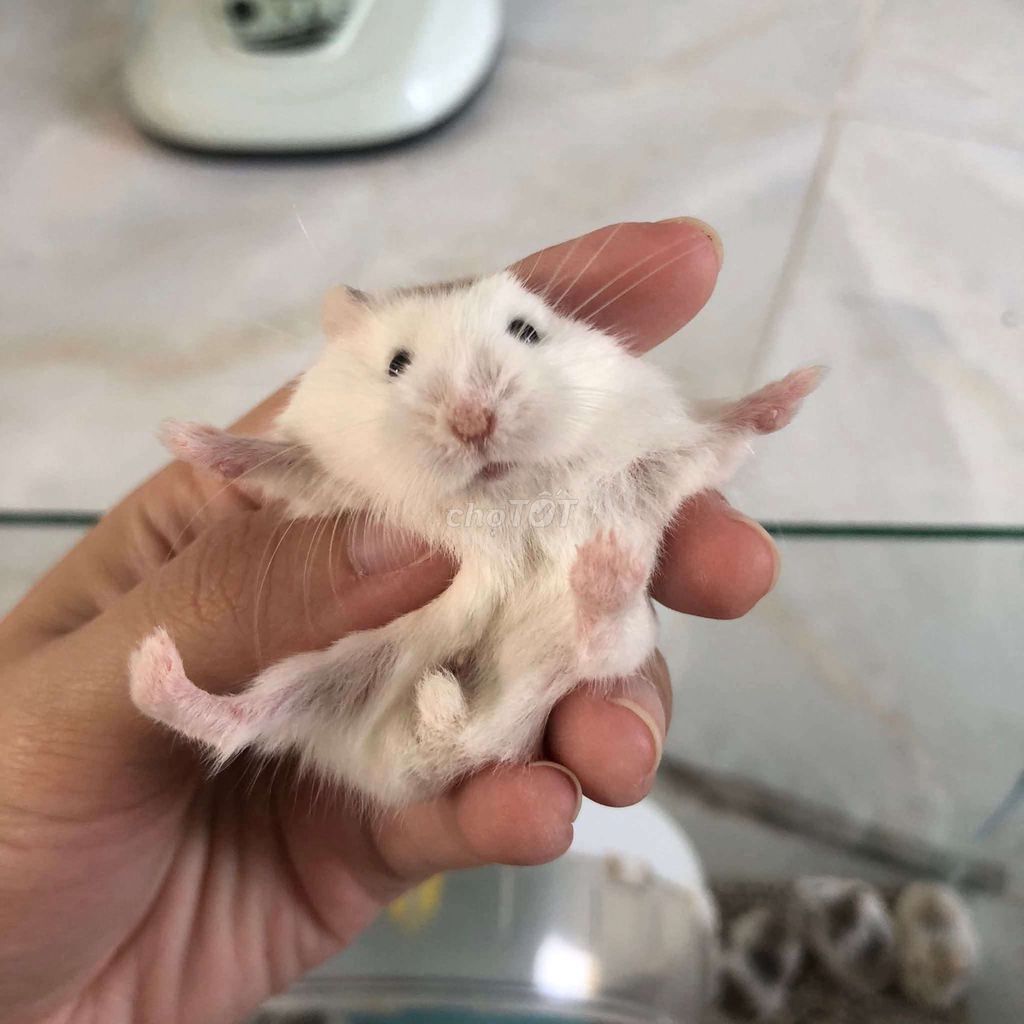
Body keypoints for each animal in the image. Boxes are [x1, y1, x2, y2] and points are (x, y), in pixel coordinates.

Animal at [129, 270, 821, 808]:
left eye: (527, 332)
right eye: (396, 364)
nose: (473, 421)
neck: (498, 498)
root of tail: (441, 749)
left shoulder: (656, 463)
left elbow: (721, 440)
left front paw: (804, 380)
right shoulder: (330, 482)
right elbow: (282, 464)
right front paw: (182, 436)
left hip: (614, 644)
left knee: (600, 645)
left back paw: (603, 567)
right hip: (340, 668)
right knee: (243, 723)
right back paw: (150, 665)